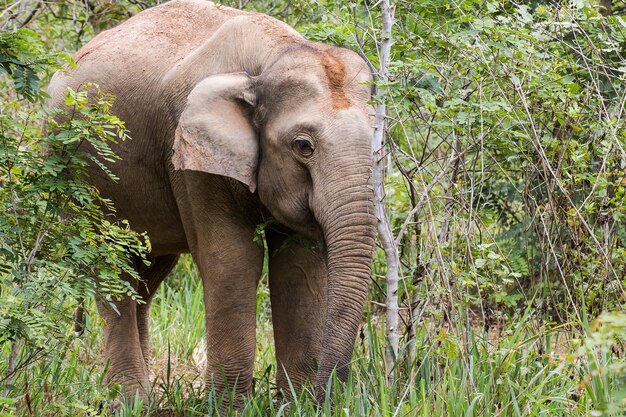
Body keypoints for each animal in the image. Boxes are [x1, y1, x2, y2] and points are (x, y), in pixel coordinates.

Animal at [48, 0, 376, 404]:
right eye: (304, 146)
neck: (269, 58)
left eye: (376, 138)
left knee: (148, 274)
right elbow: (233, 260)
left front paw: (293, 405)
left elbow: (298, 266)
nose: (326, 397)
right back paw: (131, 400)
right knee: (110, 268)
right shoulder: (192, 157)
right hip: (80, 180)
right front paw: (231, 407)